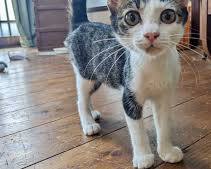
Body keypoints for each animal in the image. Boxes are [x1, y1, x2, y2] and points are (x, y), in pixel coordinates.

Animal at [65, 0, 188, 168]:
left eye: (168, 16)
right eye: (131, 17)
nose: (151, 34)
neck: (153, 64)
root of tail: (83, 23)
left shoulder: (164, 96)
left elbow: (164, 125)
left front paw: (166, 151)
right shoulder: (129, 95)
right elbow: (137, 130)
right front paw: (143, 157)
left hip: (99, 75)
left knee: (87, 95)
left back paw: (92, 113)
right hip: (85, 73)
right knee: (80, 99)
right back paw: (88, 123)